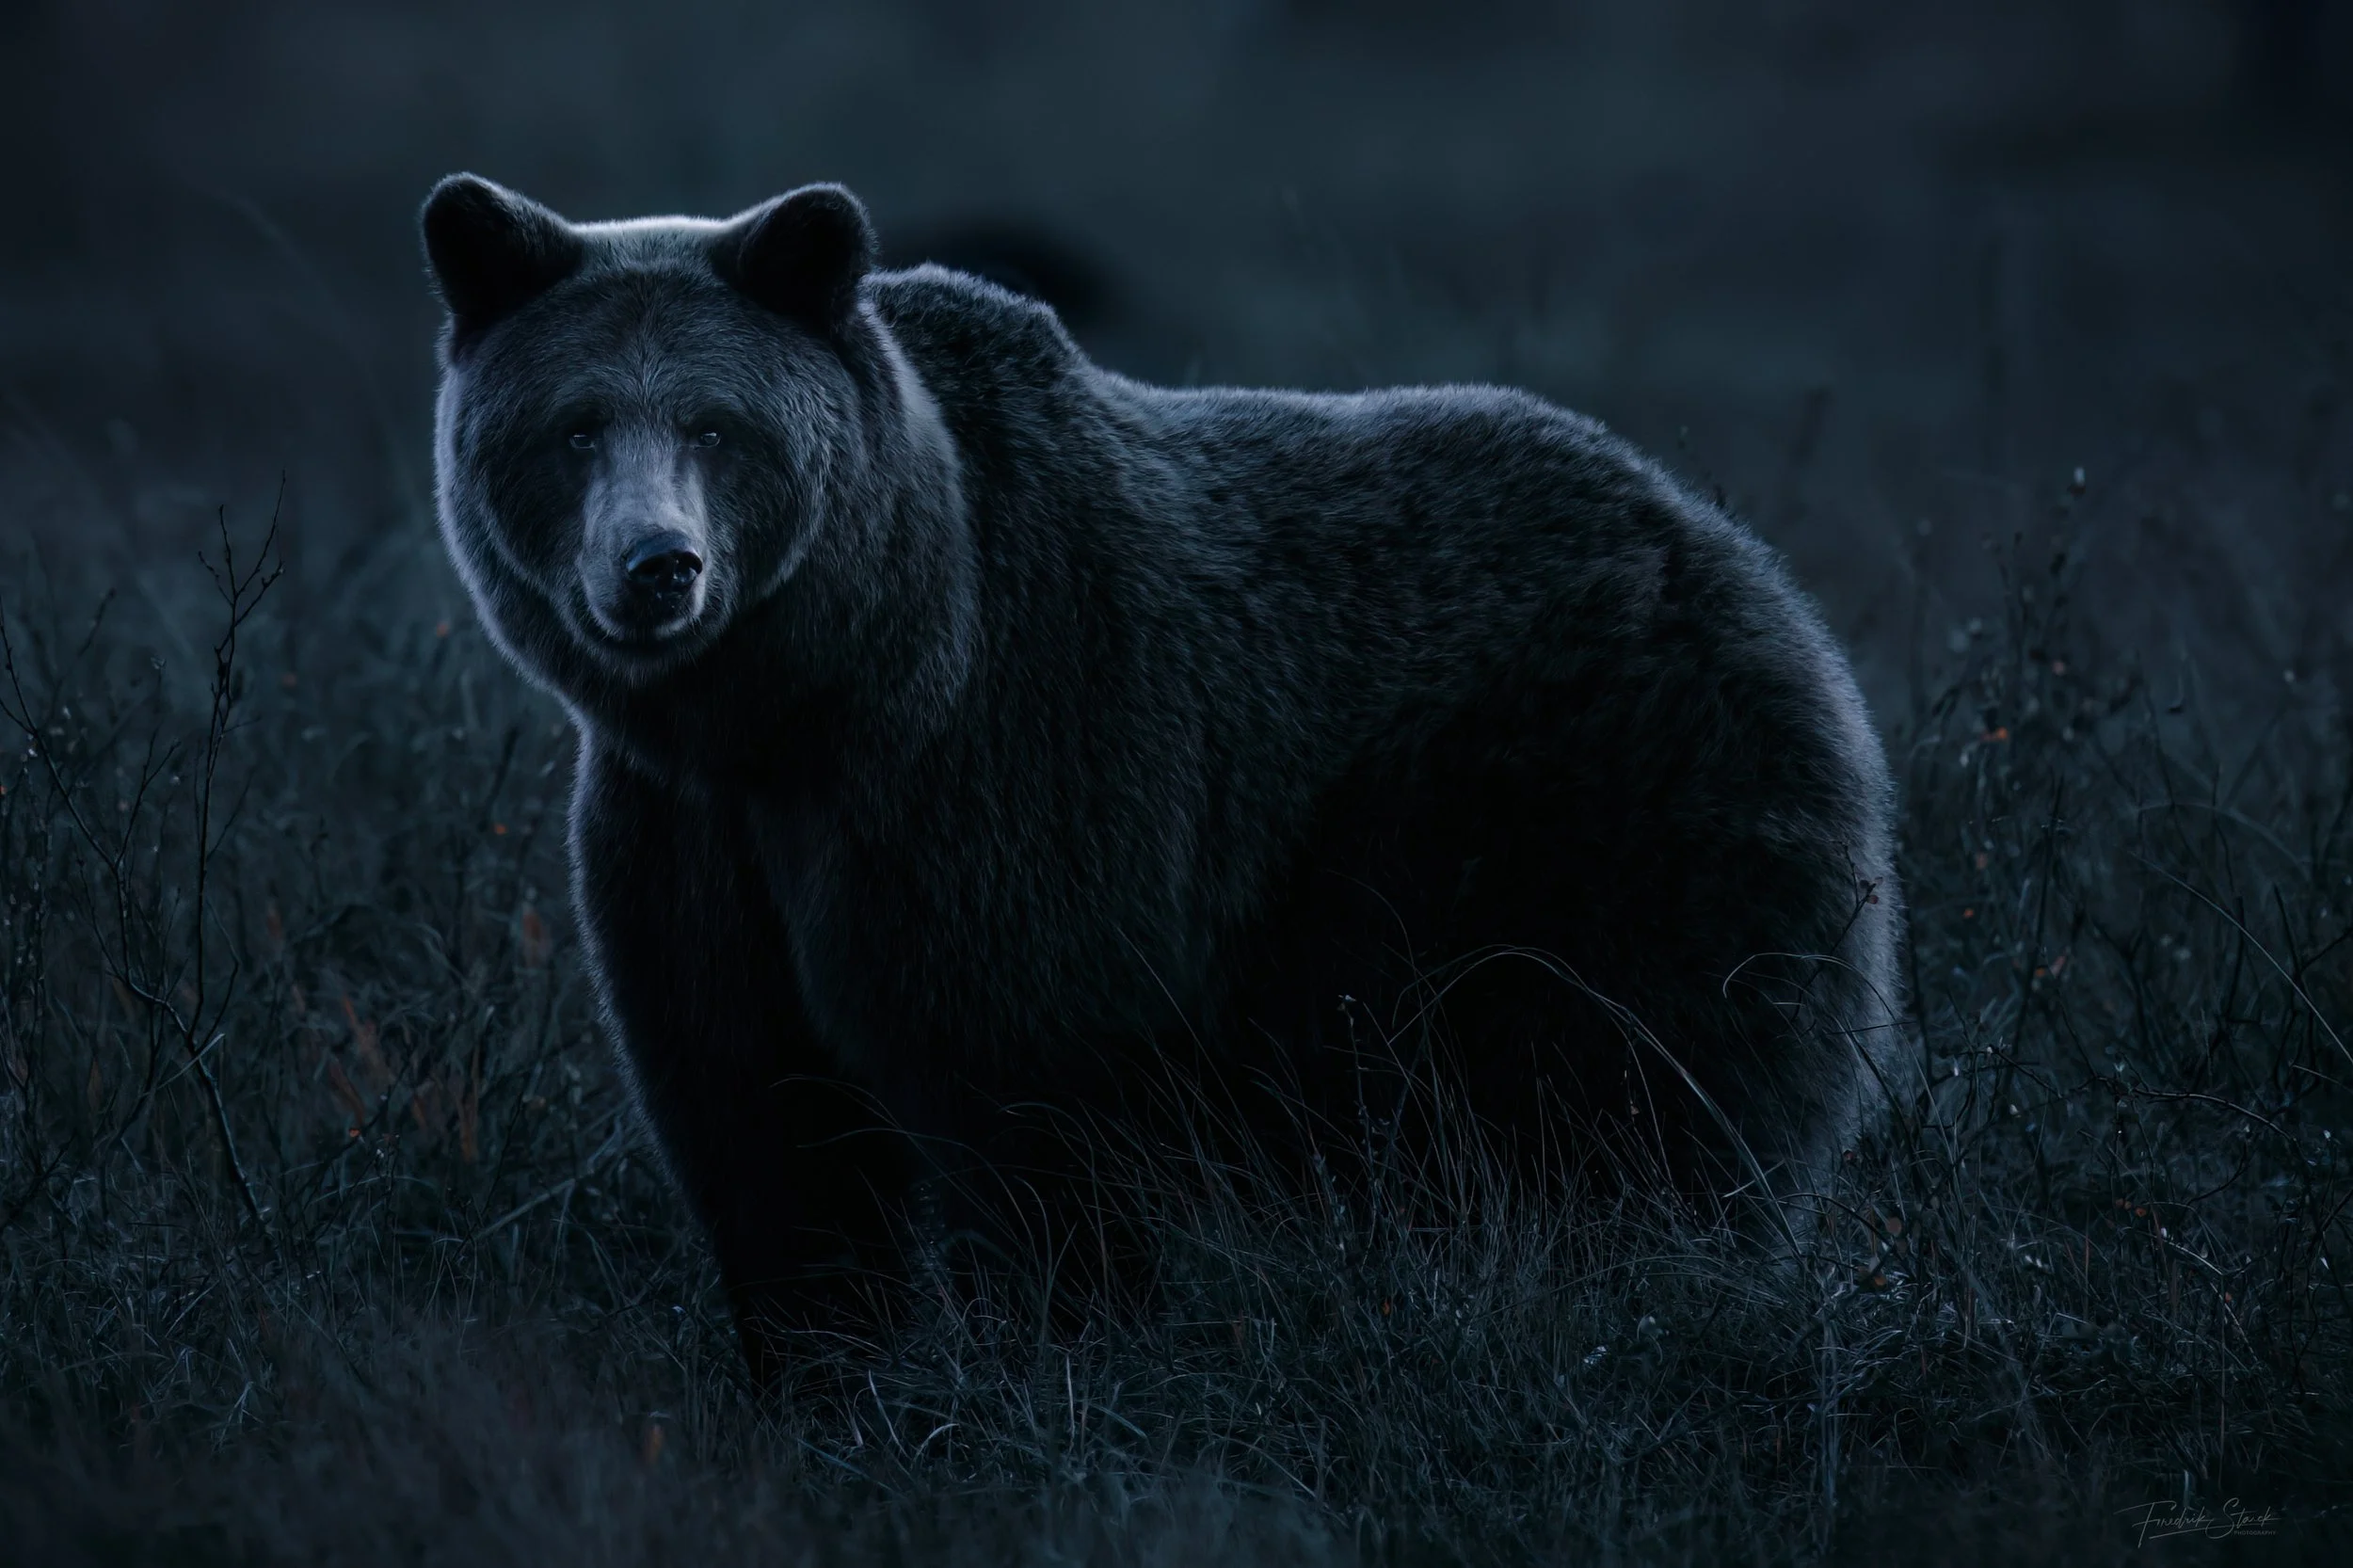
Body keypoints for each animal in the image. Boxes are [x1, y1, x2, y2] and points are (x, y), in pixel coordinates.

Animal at [420, 174, 1912, 1381]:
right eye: (574, 426)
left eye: (720, 426)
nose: (658, 566)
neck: (801, 706)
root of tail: (1724, 542)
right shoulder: (687, 844)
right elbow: (761, 1127)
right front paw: (827, 1369)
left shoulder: (1003, 774)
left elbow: (1028, 1102)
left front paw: (1051, 1360)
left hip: (1587, 807)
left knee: (1636, 1097)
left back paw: (1630, 1288)